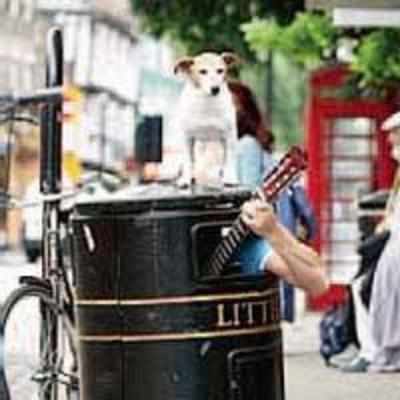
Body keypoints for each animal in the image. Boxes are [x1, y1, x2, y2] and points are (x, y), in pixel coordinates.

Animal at [173, 50, 241, 187]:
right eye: (202, 71)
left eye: (220, 70)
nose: (215, 89)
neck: (207, 103)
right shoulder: (187, 137)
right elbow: (188, 160)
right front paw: (185, 179)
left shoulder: (229, 136)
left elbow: (229, 159)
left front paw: (230, 178)